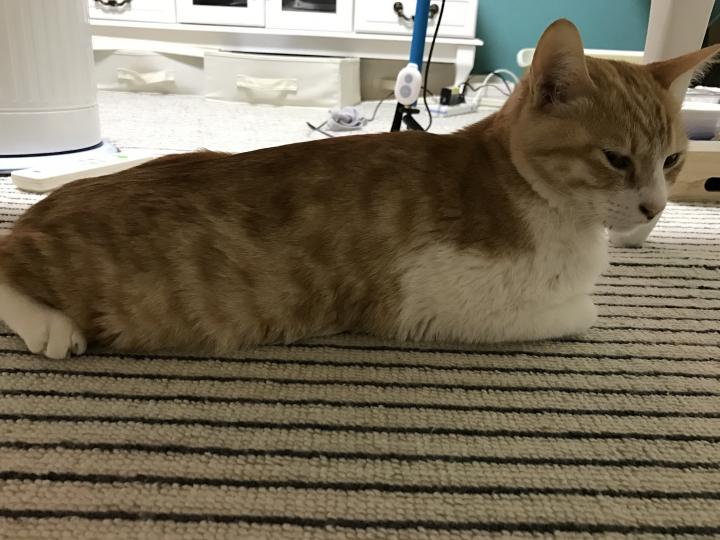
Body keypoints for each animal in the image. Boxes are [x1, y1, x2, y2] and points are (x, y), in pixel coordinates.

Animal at [0, 19, 718, 359]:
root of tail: (47, 207)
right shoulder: (431, 301)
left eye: (672, 159)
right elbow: (582, 312)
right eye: (617, 159)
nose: (655, 206)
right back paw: (51, 327)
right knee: (3, 262)